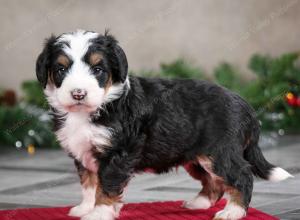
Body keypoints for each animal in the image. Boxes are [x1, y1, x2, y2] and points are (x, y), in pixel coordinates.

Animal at [35, 29, 292, 220]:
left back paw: (232, 212)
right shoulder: (83, 153)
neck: (100, 106)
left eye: (98, 69)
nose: (78, 93)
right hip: (196, 156)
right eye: (61, 69)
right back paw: (198, 203)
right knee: (215, 182)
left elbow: (106, 186)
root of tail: (244, 104)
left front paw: (99, 213)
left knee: (241, 176)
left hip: (219, 152)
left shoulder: (117, 153)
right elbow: (89, 183)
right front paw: (85, 207)